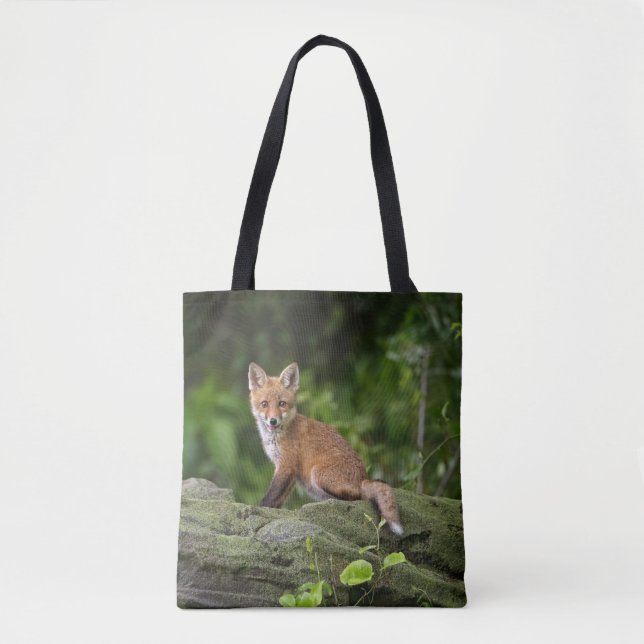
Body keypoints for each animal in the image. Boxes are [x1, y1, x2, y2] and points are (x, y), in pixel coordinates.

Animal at [248, 362, 403, 535]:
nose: (273, 421)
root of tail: (363, 478)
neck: (279, 434)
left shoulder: (286, 466)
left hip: (317, 475)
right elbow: (278, 499)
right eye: (264, 404)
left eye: (282, 404)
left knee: (356, 497)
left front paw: (257, 509)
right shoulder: (290, 473)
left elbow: (270, 496)